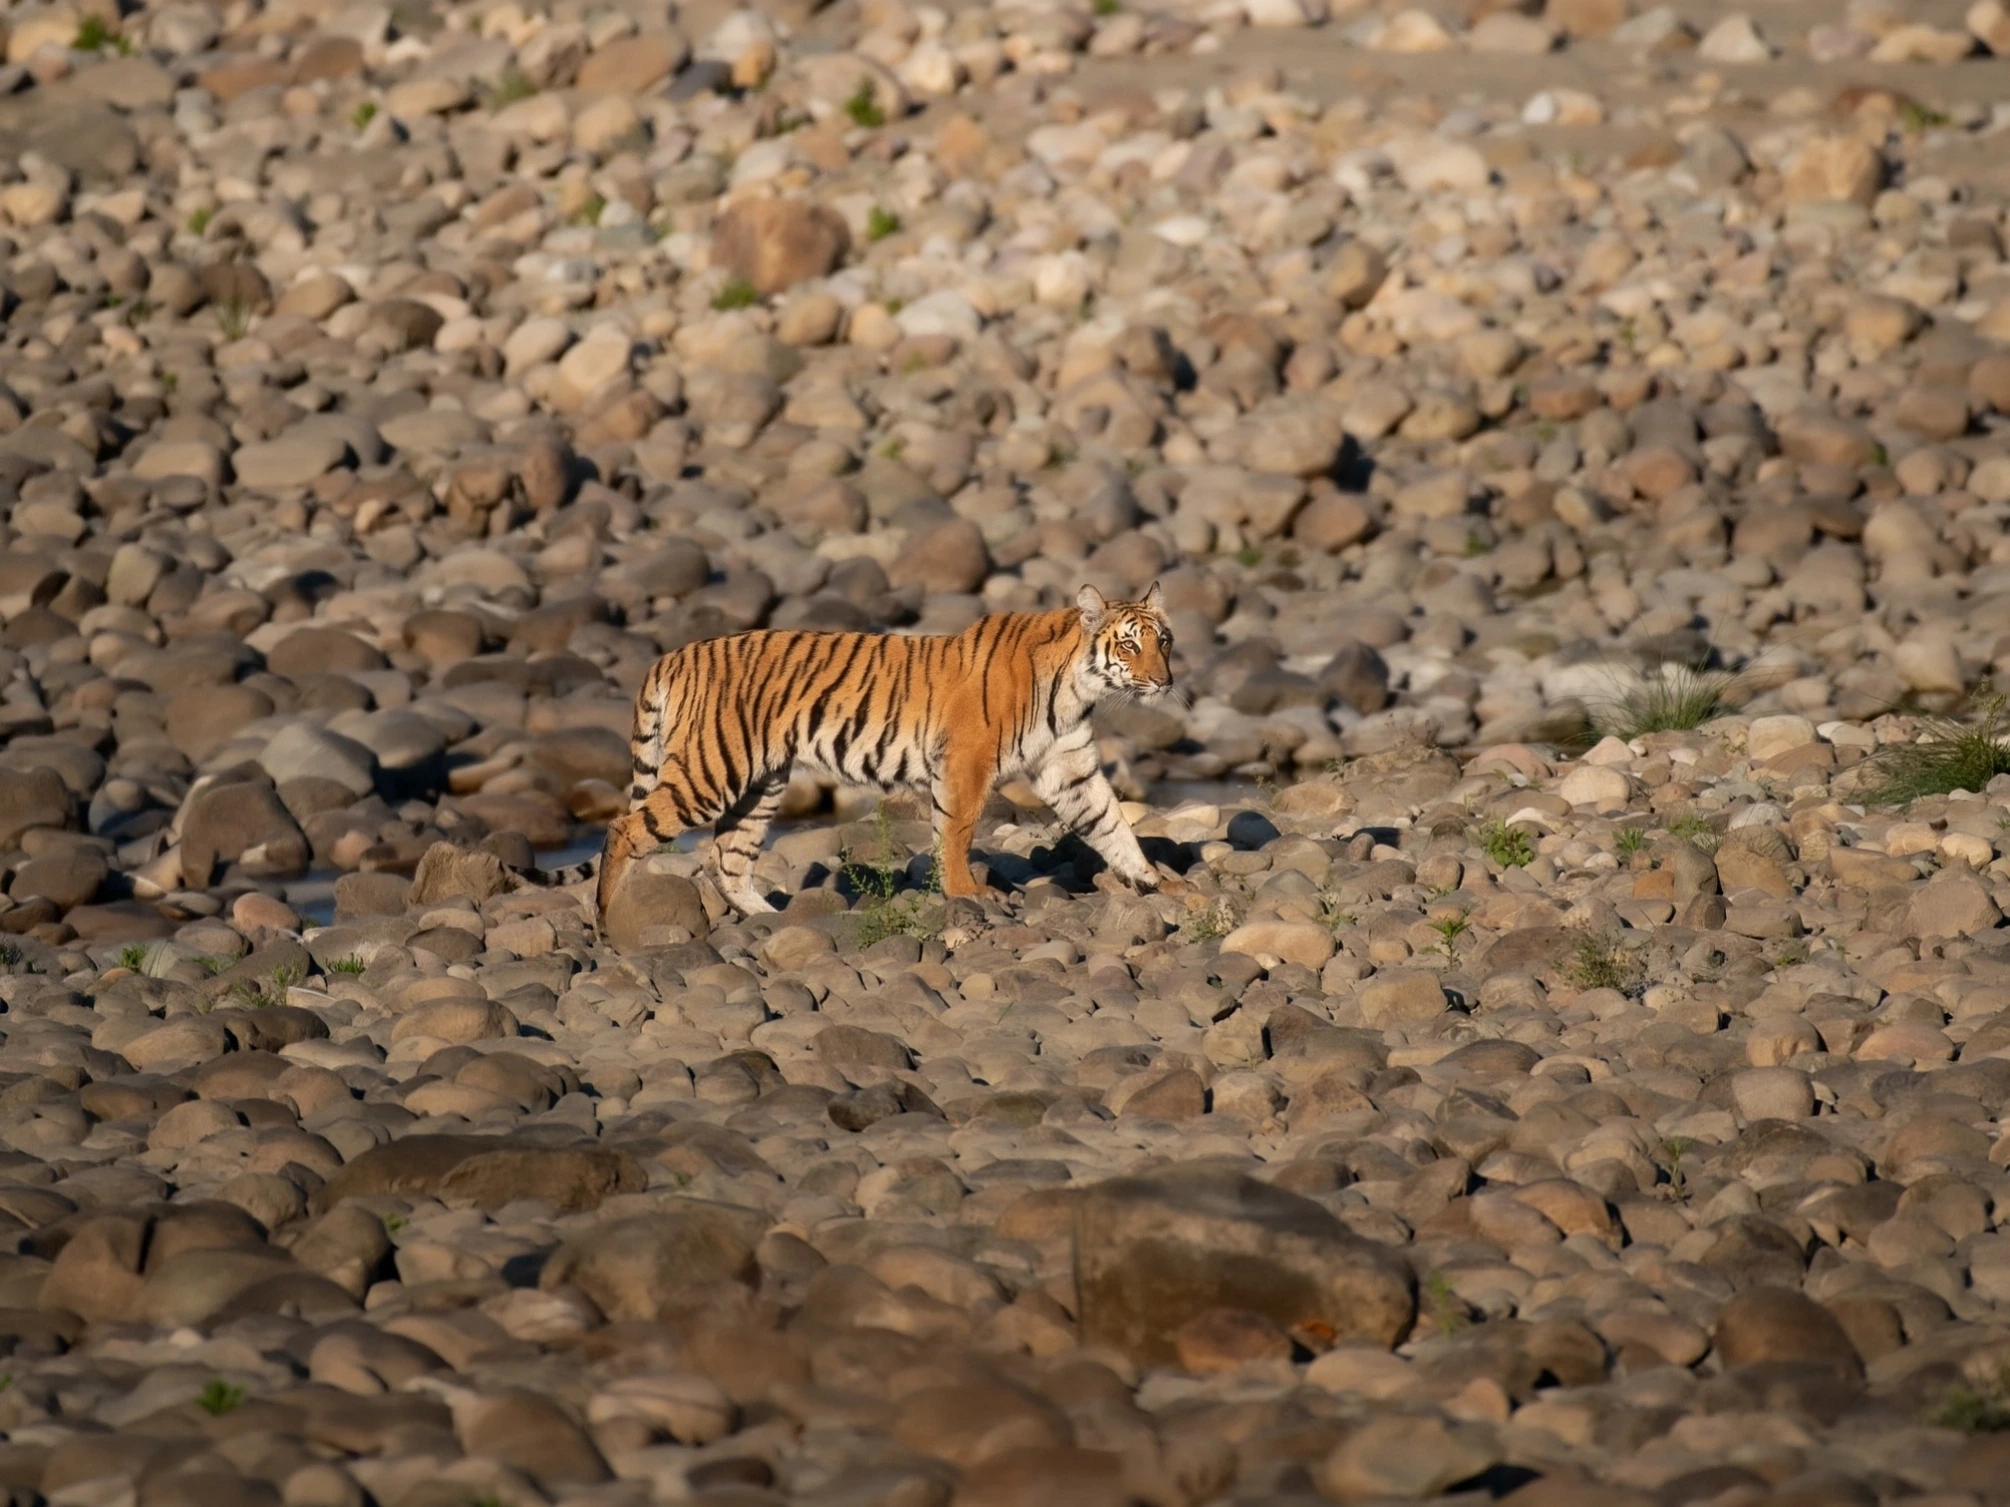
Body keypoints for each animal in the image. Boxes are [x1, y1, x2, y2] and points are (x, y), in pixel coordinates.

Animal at [584, 583, 1180, 924]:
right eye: (1129, 644)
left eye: (1164, 641)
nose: (1164, 682)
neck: (1078, 687)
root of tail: (674, 655)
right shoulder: (966, 763)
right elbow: (957, 833)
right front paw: (967, 892)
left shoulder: (1068, 767)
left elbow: (1111, 824)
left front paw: (1160, 883)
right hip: (711, 771)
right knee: (625, 828)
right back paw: (608, 922)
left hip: (761, 783)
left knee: (726, 858)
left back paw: (770, 919)